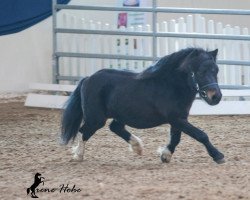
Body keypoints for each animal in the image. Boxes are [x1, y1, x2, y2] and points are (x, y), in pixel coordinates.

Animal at [60, 48, 225, 164]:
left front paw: (165, 156)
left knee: (115, 127)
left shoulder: (179, 119)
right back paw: (78, 155)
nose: (216, 97)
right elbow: (201, 135)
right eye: (201, 71)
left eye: (216, 70)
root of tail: (87, 79)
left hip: (119, 115)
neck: (171, 86)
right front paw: (218, 156)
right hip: (96, 118)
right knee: (84, 131)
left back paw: (137, 147)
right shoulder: (176, 119)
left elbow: (176, 139)